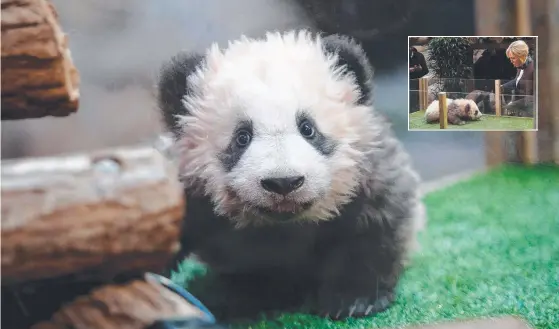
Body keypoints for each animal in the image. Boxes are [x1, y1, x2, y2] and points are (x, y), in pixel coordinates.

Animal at [155, 29, 426, 322]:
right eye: (242, 137)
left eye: (308, 128)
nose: (283, 182)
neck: (282, 224)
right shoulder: (188, 190)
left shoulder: (367, 172)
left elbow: (374, 226)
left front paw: (355, 299)